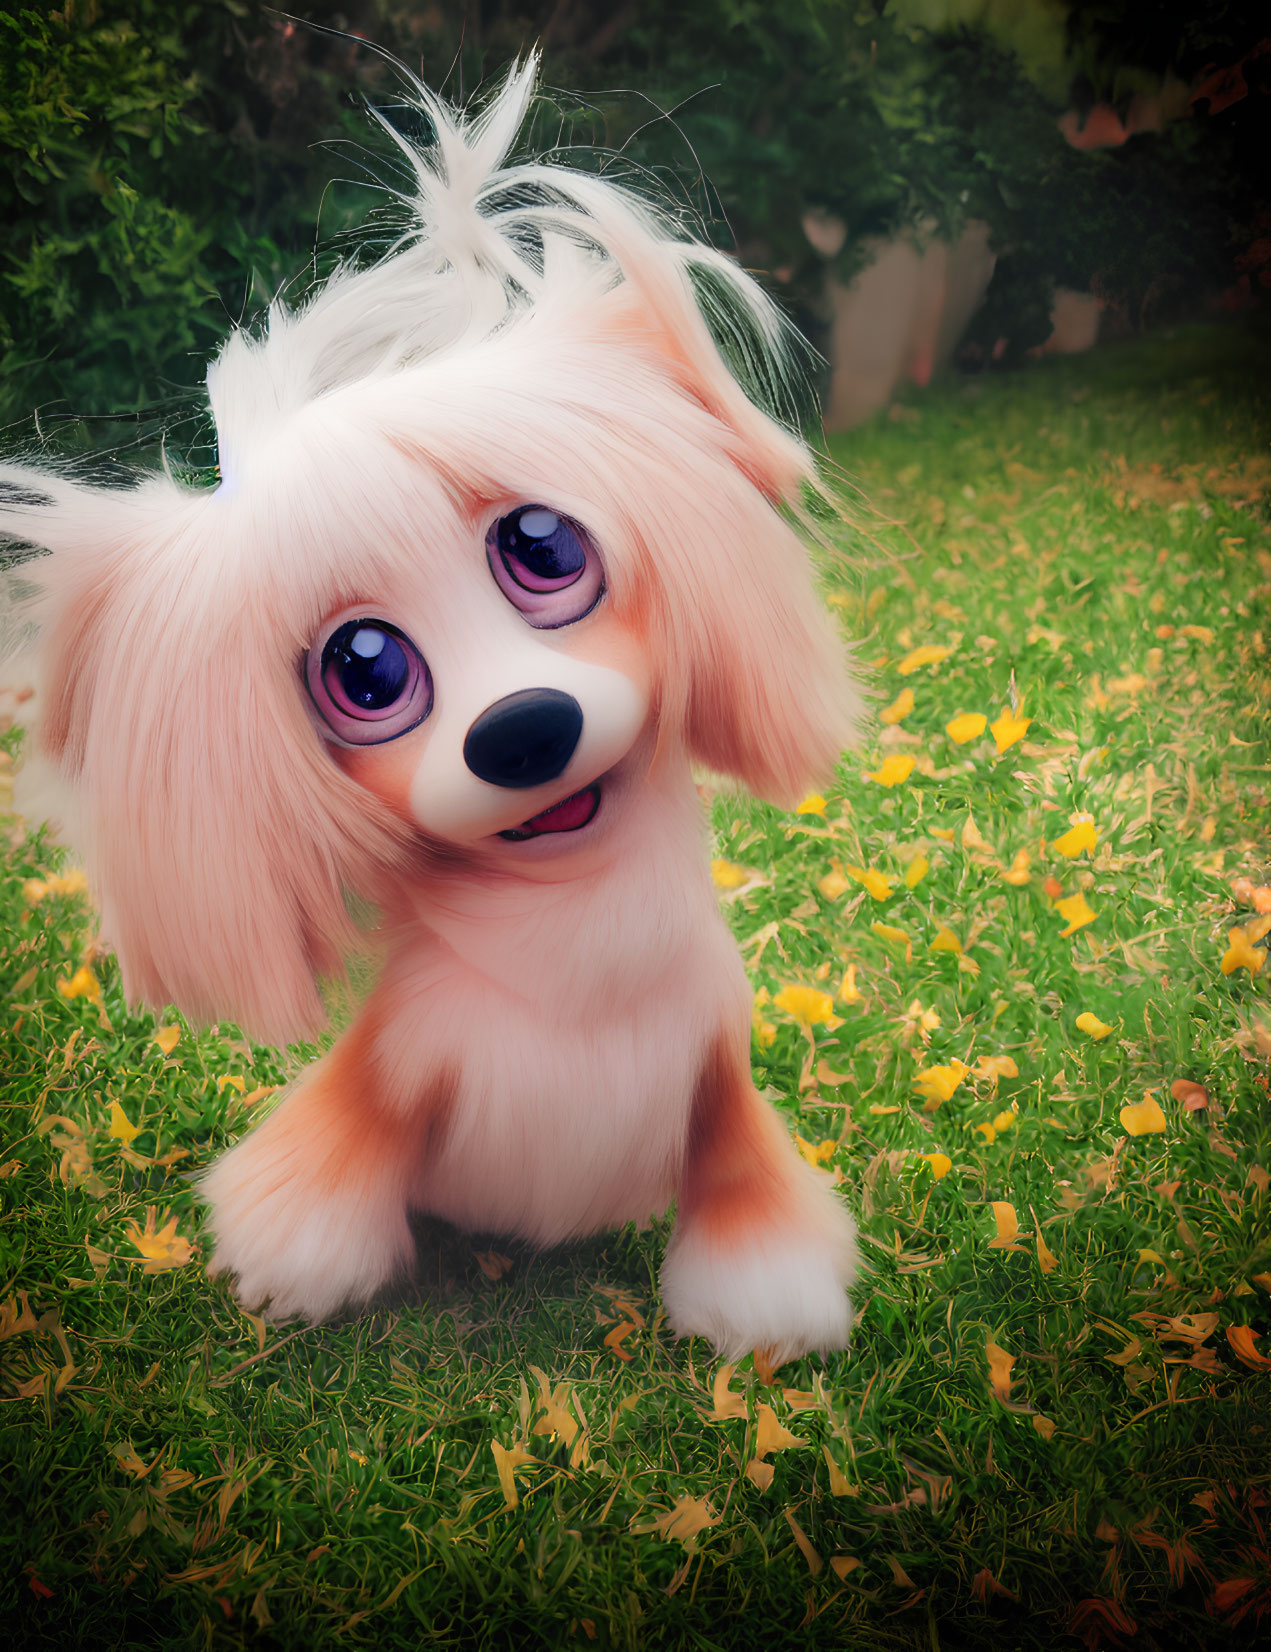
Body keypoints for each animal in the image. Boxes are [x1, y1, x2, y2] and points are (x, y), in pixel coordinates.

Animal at [4, 58, 859, 1361]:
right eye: (364, 672)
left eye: (542, 545)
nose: (520, 728)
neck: (577, 974)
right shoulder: (394, 1063)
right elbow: (332, 1151)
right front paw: (289, 1263)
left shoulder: (716, 1072)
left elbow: (741, 1176)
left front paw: (763, 1301)